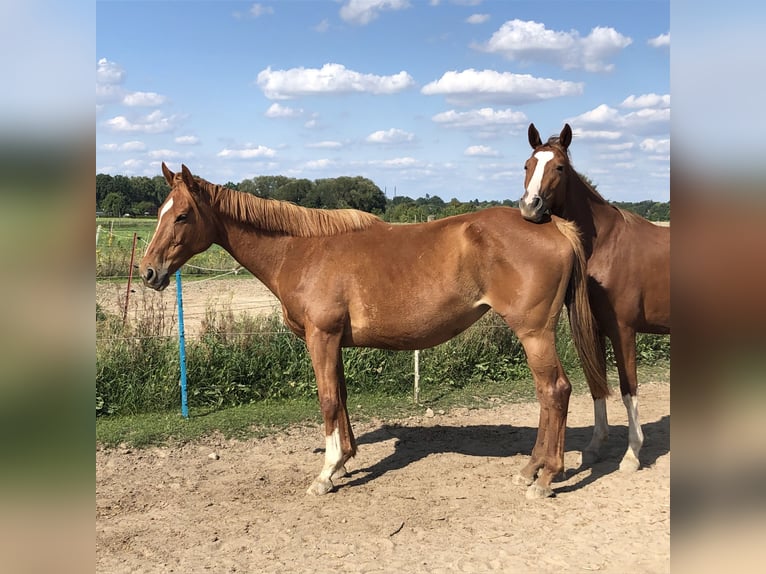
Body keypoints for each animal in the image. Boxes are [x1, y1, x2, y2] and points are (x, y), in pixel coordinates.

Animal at [141, 163, 608, 500]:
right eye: (159, 212)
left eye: (181, 215)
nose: (149, 272)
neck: (302, 251)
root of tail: (553, 225)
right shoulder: (334, 343)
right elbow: (342, 397)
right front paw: (345, 461)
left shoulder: (322, 338)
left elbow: (328, 400)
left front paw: (326, 474)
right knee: (550, 395)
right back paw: (530, 470)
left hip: (534, 333)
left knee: (555, 391)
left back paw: (545, 477)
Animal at [520, 125, 672, 472]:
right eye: (527, 165)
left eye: (559, 168)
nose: (530, 207)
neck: (605, 245)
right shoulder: (595, 329)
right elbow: (596, 382)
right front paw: (594, 446)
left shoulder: (623, 331)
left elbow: (629, 389)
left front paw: (632, 454)